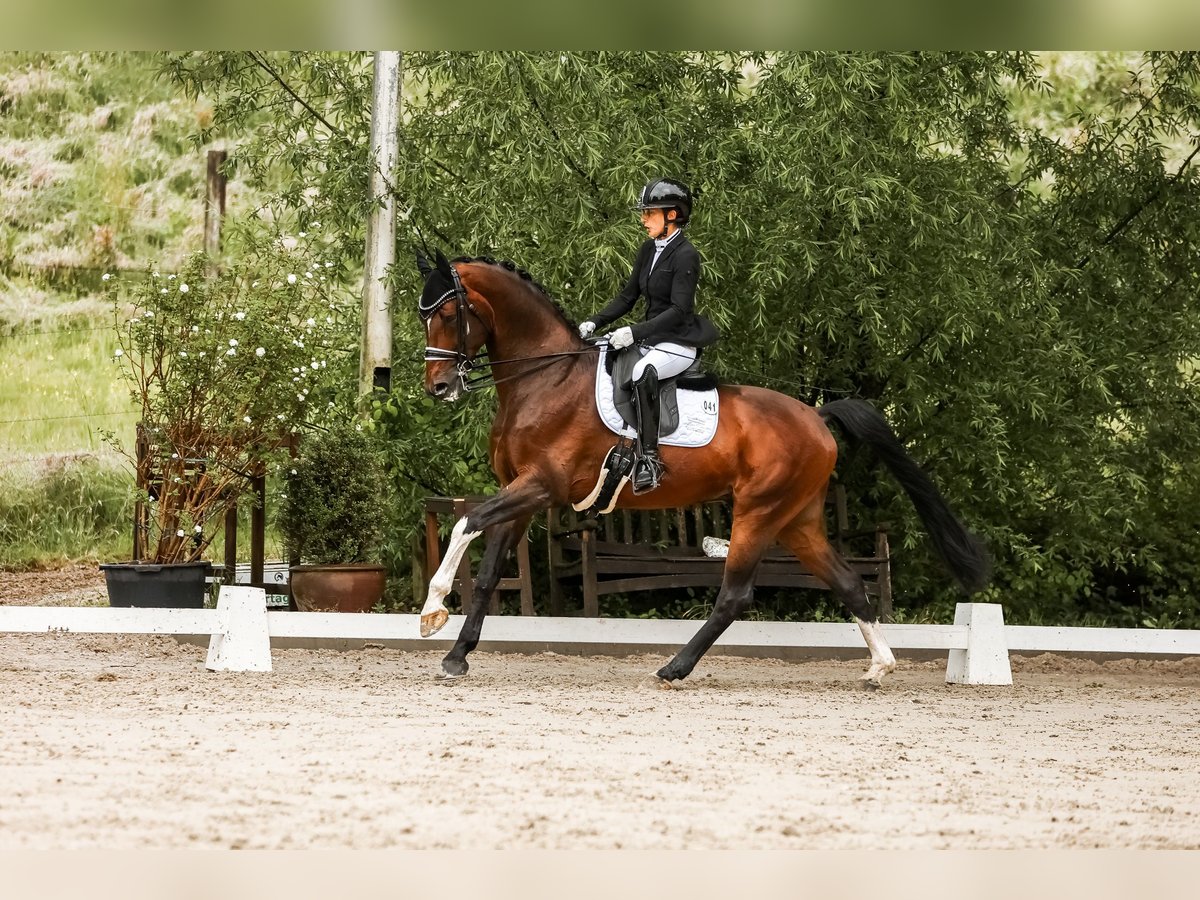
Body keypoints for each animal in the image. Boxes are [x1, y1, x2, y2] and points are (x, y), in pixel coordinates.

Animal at [416, 250, 990, 689]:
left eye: (447, 314)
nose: (439, 387)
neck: (543, 378)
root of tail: (816, 416)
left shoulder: (541, 485)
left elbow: (466, 522)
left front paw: (432, 609)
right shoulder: (522, 492)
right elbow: (488, 571)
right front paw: (457, 655)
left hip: (758, 511)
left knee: (734, 595)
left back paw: (674, 668)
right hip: (797, 519)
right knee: (848, 582)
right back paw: (879, 667)